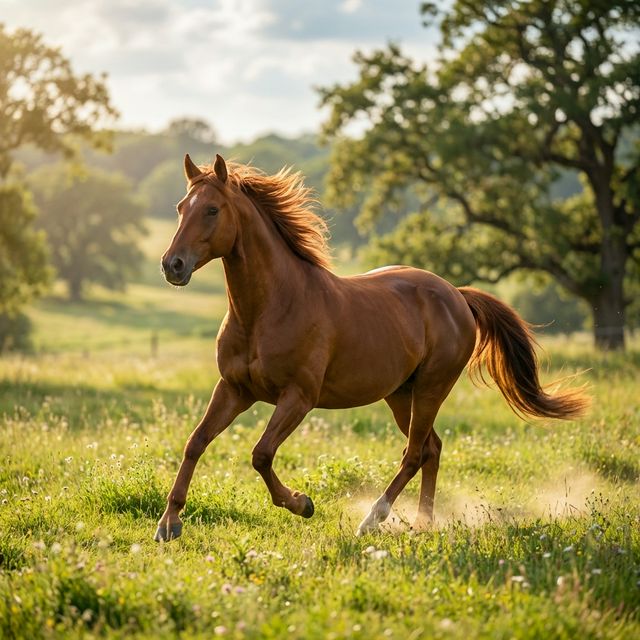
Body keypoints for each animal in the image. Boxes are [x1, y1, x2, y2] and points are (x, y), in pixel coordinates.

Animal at [154, 153, 588, 542]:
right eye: (180, 207)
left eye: (212, 209)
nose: (172, 265)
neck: (268, 309)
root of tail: (457, 295)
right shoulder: (234, 389)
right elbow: (195, 443)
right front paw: (169, 523)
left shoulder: (298, 397)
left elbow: (261, 454)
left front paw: (302, 503)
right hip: (400, 394)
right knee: (431, 448)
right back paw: (422, 524)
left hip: (431, 389)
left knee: (414, 453)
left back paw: (372, 520)